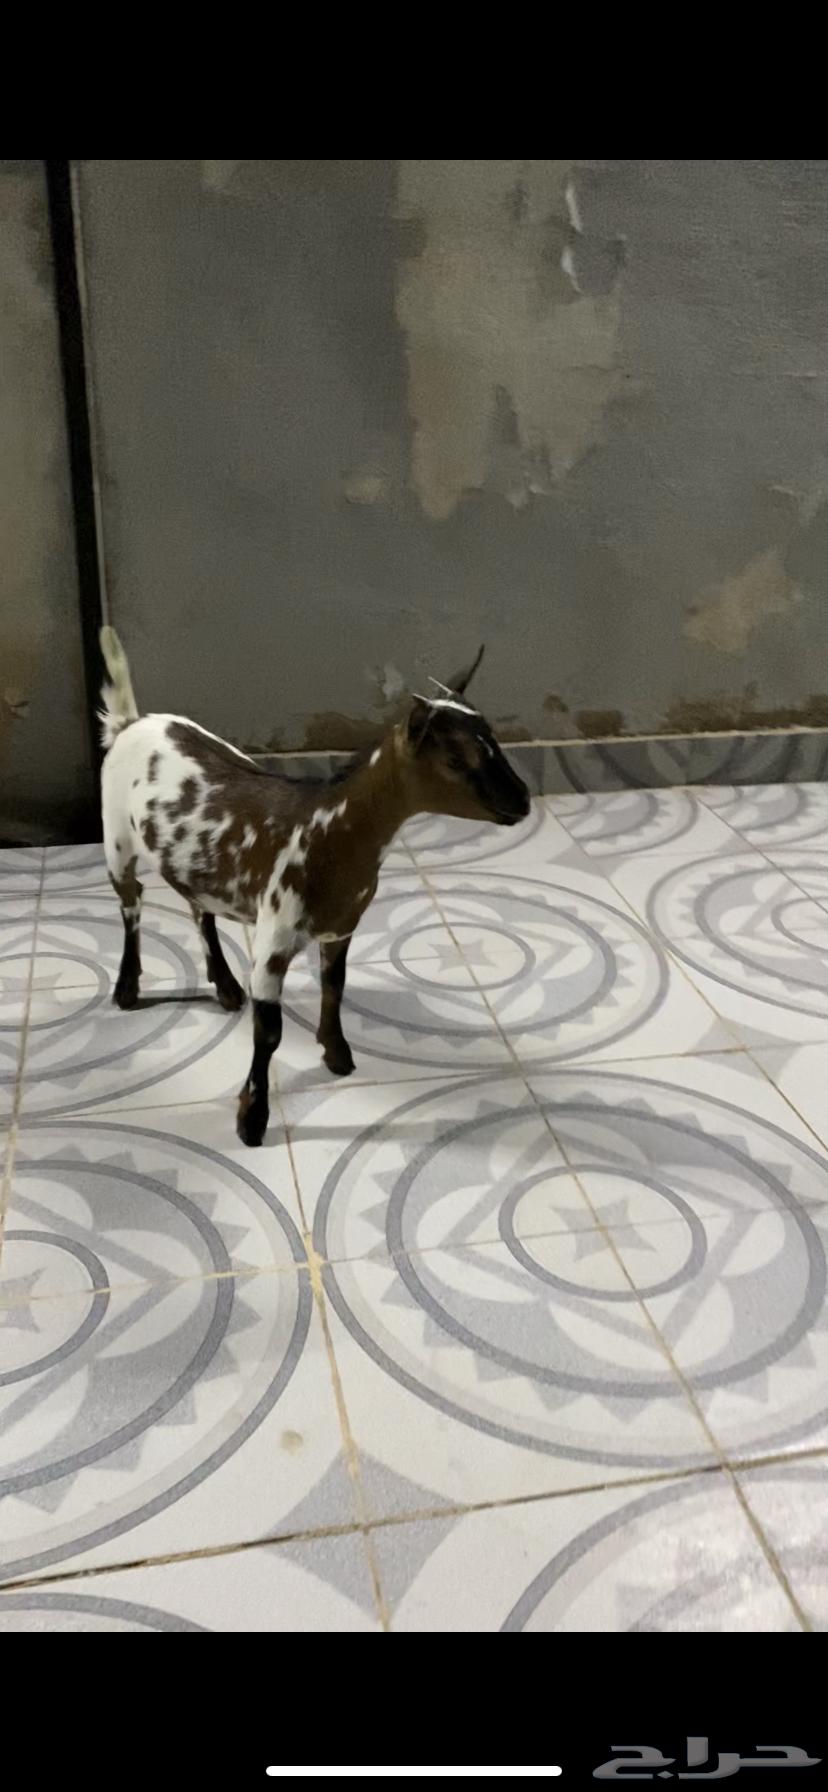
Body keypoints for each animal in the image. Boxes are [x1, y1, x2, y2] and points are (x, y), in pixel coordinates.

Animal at [98, 628, 531, 1146]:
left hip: (190, 860)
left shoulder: (341, 927)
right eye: (454, 758)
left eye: (496, 742)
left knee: (197, 907)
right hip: (116, 837)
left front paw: (337, 1053)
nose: (523, 800)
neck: (326, 829)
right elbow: (269, 1032)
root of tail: (130, 722)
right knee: (132, 903)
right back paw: (127, 989)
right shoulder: (273, 940)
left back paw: (225, 986)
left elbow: (334, 987)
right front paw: (252, 1118)